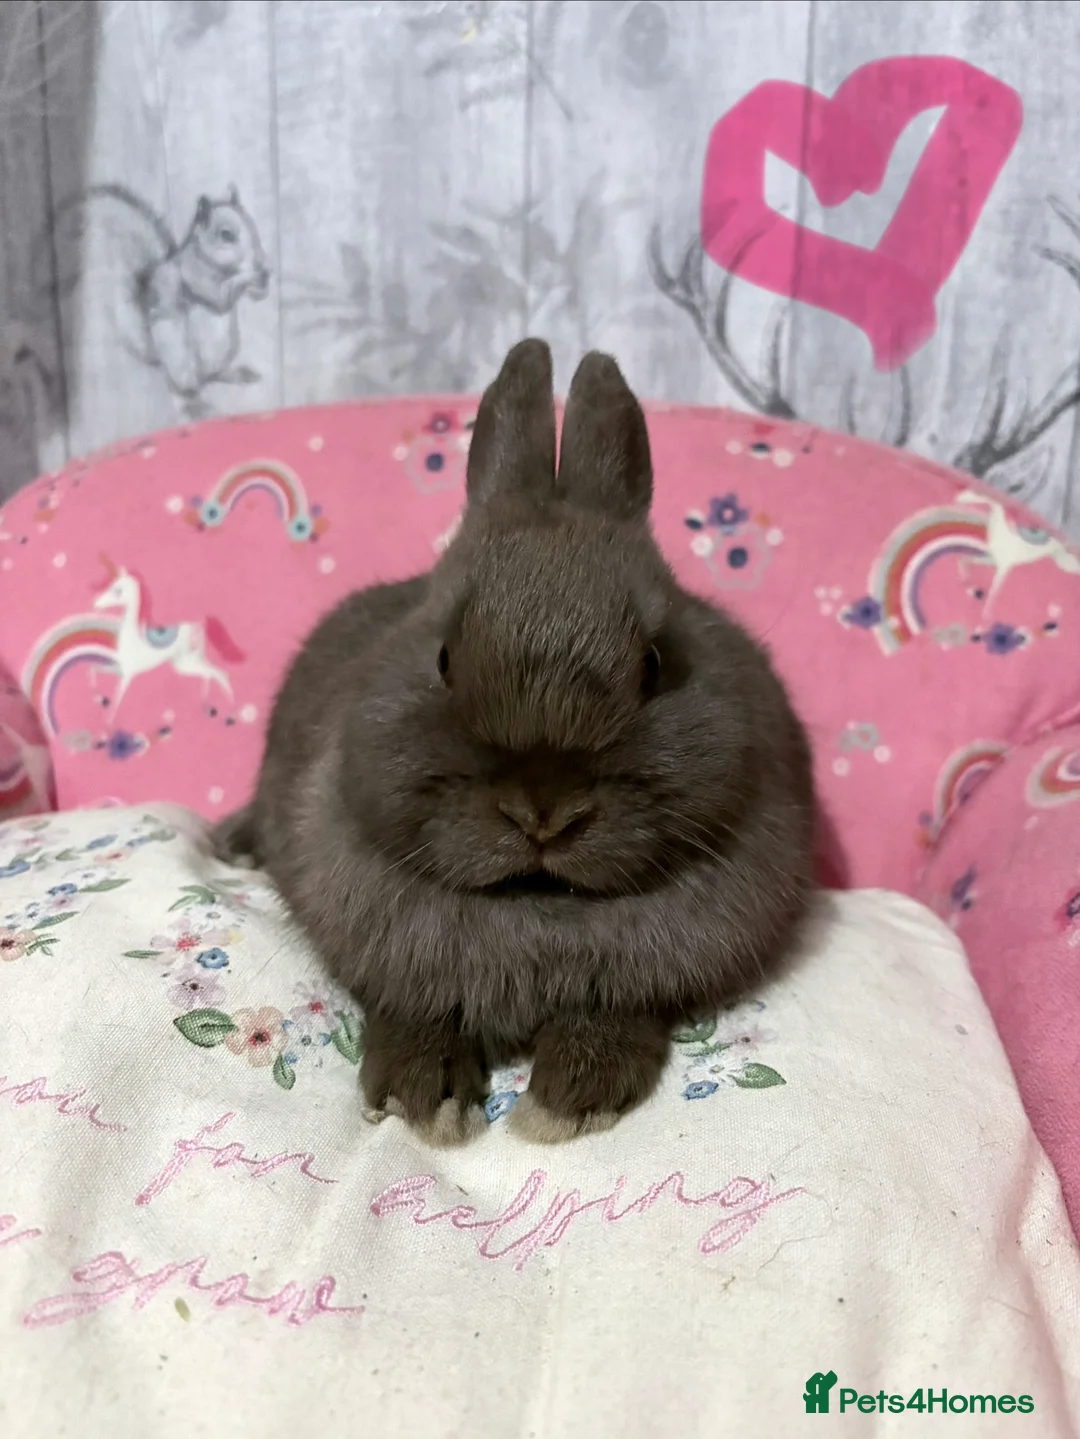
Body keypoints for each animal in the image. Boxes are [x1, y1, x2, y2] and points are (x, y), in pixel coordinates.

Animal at [211, 338, 816, 1145]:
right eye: (442, 658)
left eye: (655, 664)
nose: (543, 813)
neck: (538, 905)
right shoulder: (399, 971)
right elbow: (414, 1016)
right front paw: (423, 1101)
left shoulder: (636, 989)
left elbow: (613, 1022)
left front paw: (562, 1104)